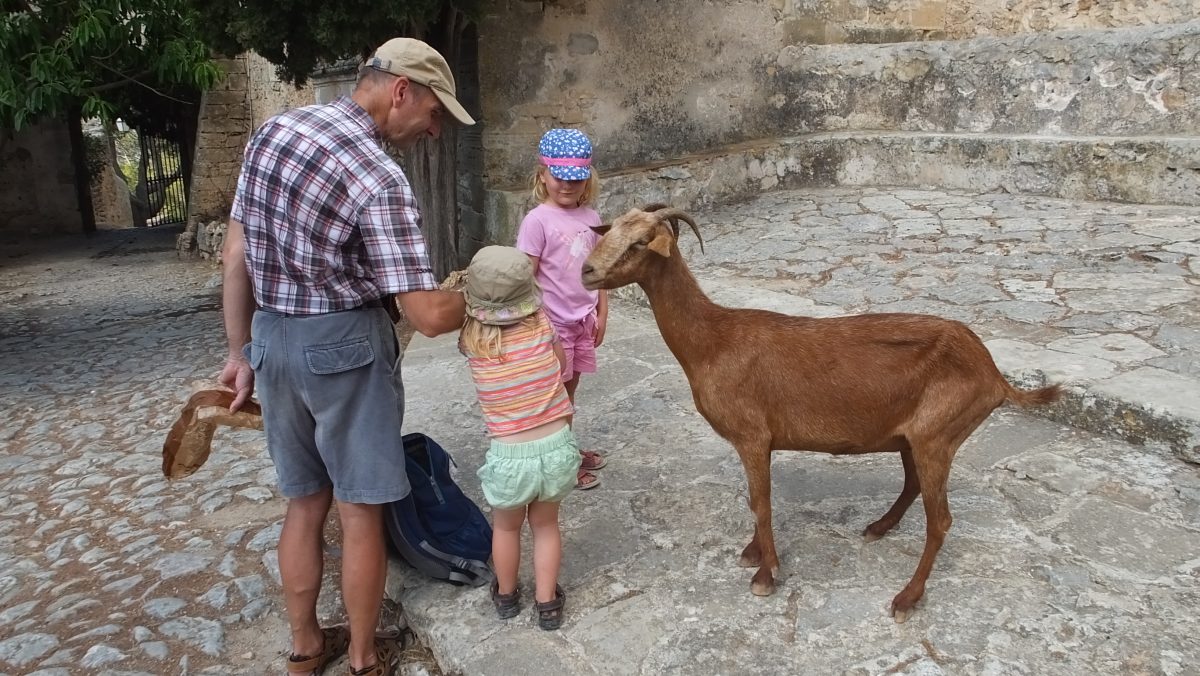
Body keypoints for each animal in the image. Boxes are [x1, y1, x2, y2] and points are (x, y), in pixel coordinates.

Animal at [580, 206, 1060, 624]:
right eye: (612, 229)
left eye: (640, 242)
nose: (587, 271)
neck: (714, 342)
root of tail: (994, 376)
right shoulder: (758, 443)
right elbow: (756, 500)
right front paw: (754, 553)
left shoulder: (752, 436)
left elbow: (761, 503)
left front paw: (766, 573)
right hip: (913, 437)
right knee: (912, 486)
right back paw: (878, 527)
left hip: (938, 435)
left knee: (940, 521)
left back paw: (906, 598)